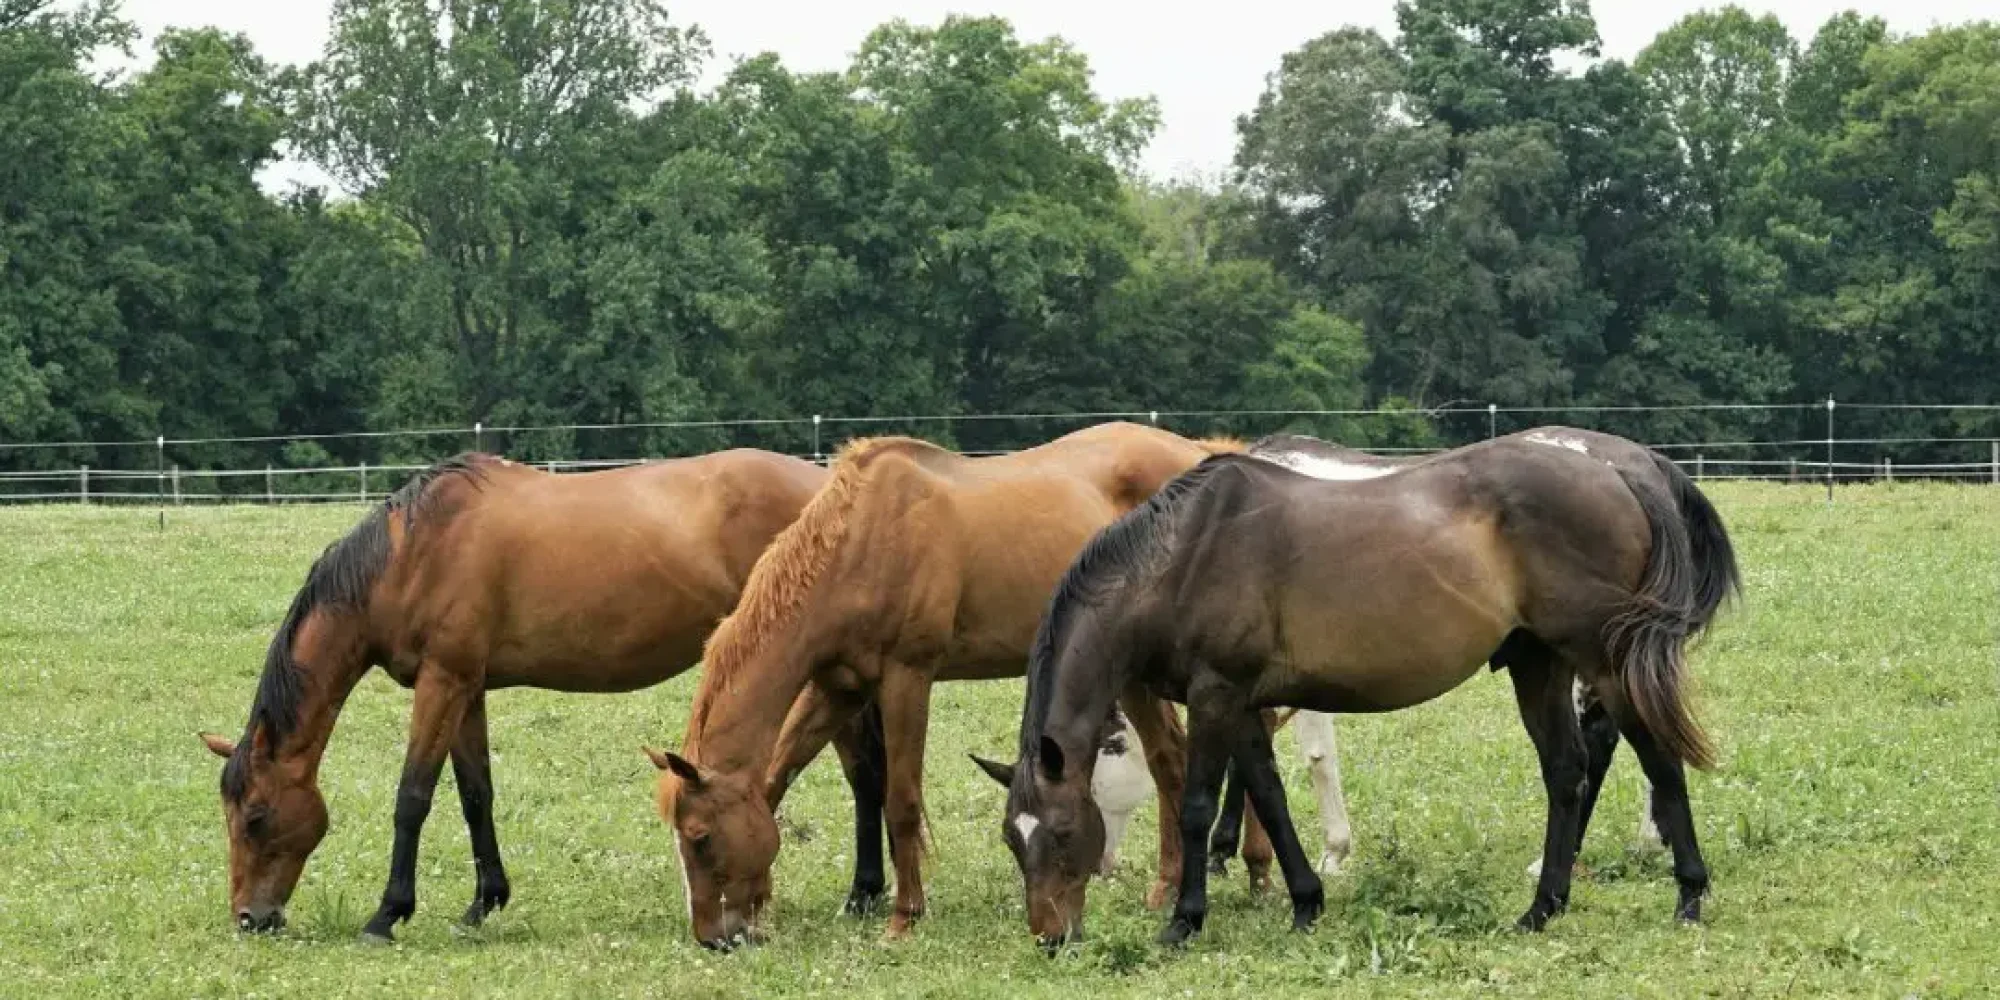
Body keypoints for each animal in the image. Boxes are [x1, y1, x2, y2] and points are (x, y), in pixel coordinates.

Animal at [197, 450, 868, 940]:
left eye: (255, 817)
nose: (250, 919)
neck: (413, 553)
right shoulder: (465, 689)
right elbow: (476, 796)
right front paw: (483, 904)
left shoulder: (441, 683)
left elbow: (413, 798)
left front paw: (386, 915)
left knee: (865, 771)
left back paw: (863, 895)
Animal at [648, 418, 1256, 948]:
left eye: (700, 838)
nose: (714, 939)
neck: (863, 538)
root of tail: (1200, 453)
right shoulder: (839, 688)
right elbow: (778, 780)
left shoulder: (907, 678)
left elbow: (901, 800)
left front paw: (904, 917)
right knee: (1169, 760)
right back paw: (1169, 886)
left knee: (1175, 760)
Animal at [984, 428, 1736, 944]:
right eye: (1013, 842)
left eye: (1060, 832)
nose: (1050, 937)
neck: (1183, 556)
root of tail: (1621, 471)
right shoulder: (1244, 703)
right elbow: (1269, 796)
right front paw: (1305, 901)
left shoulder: (1215, 696)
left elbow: (1198, 804)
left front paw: (1184, 920)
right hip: (1539, 664)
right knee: (1566, 772)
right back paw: (1542, 908)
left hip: (1604, 660)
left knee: (1657, 758)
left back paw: (1689, 895)